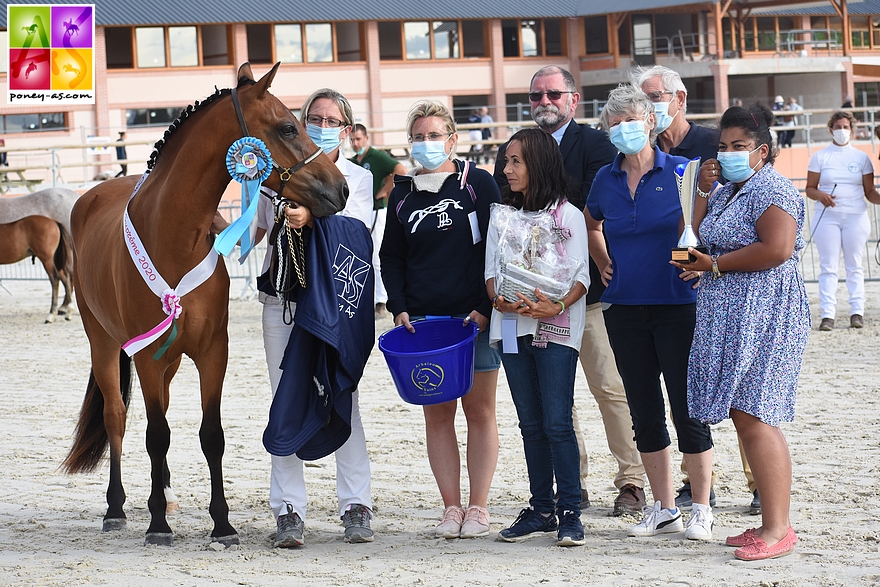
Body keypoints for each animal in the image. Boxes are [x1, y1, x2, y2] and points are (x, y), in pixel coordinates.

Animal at [62, 63, 348, 548]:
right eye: (287, 127)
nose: (341, 189)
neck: (175, 237)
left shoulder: (213, 351)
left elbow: (209, 435)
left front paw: (222, 524)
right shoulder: (146, 356)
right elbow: (156, 434)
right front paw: (158, 526)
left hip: (171, 360)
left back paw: (166, 495)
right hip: (104, 344)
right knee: (117, 417)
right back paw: (117, 508)